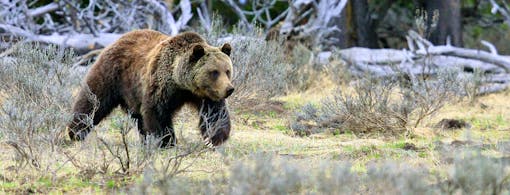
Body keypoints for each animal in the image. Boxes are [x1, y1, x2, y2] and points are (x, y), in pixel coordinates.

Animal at [67, 29, 235, 147]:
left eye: (227, 70)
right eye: (214, 72)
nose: (229, 89)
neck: (182, 84)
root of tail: (118, 39)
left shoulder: (205, 94)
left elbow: (214, 114)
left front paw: (215, 139)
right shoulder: (161, 85)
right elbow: (157, 112)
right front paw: (166, 141)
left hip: (133, 94)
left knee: (138, 117)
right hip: (111, 74)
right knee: (93, 101)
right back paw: (75, 132)